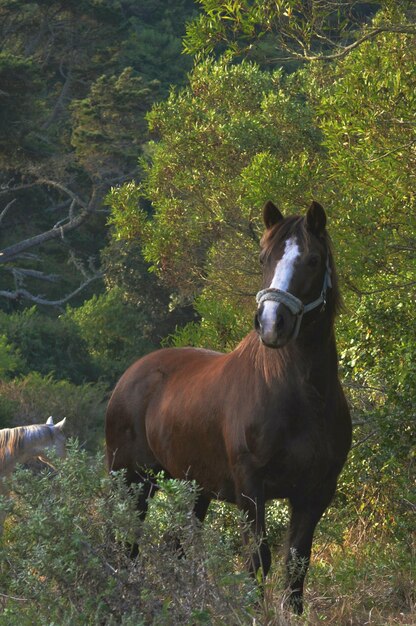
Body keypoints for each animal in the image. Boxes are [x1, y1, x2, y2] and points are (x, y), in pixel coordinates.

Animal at [105, 200, 352, 608]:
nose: (271, 323)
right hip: (130, 479)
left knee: (175, 547)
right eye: (264, 257)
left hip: (192, 489)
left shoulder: (316, 492)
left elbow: (296, 565)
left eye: (313, 259)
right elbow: (257, 558)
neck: (302, 399)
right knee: (124, 544)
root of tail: (130, 376)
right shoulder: (252, 486)